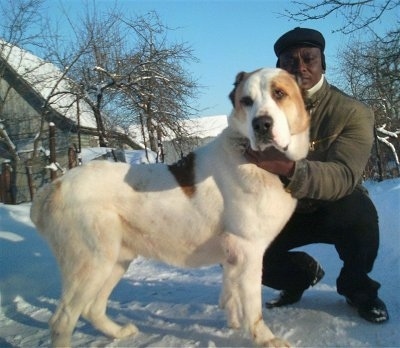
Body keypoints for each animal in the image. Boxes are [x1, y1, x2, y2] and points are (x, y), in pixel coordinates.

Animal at [30, 68, 310, 348]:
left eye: (279, 93)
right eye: (247, 101)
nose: (261, 124)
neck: (250, 155)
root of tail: (55, 186)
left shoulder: (233, 256)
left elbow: (231, 294)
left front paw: (232, 325)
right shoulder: (248, 249)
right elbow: (252, 306)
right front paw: (266, 339)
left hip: (116, 260)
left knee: (92, 308)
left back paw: (119, 332)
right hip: (92, 263)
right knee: (63, 319)